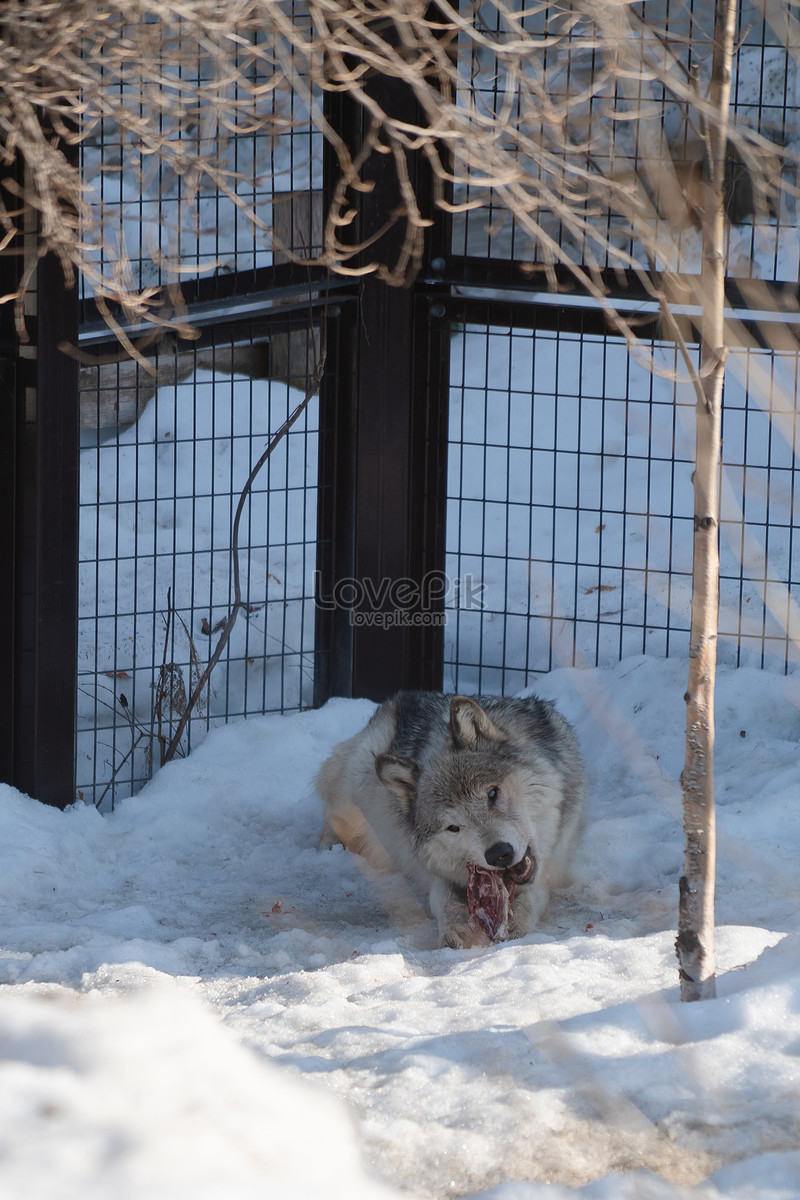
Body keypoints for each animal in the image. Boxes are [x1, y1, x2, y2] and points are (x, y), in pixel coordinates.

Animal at [316, 696, 585, 945]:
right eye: (453, 827)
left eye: (492, 794)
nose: (499, 854)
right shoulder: (432, 868)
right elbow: (442, 897)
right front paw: (456, 927)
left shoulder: (552, 865)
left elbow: (532, 896)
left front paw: (516, 924)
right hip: (354, 793)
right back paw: (330, 846)